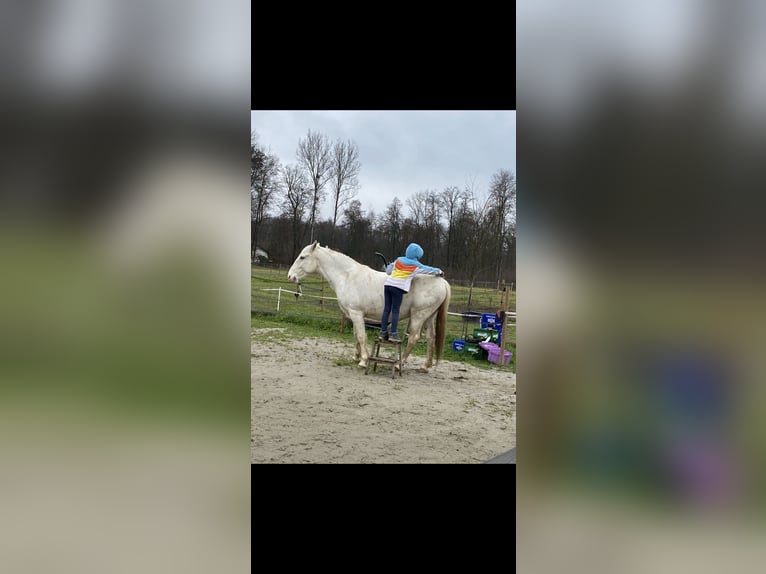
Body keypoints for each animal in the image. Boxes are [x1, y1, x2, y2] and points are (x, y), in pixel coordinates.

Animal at [288, 241, 450, 372]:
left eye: (303, 257)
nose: (290, 276)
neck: (347, 276)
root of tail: (442, 282)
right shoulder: (352, 314)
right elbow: (356, 335)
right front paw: (356, 356)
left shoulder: (356, 313)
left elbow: (361, 335)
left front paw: (364, 360)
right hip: (429, 317)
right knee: (430, 338)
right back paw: (425, 366)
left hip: (418, 316)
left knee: (414, 338)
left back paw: (400, 364)